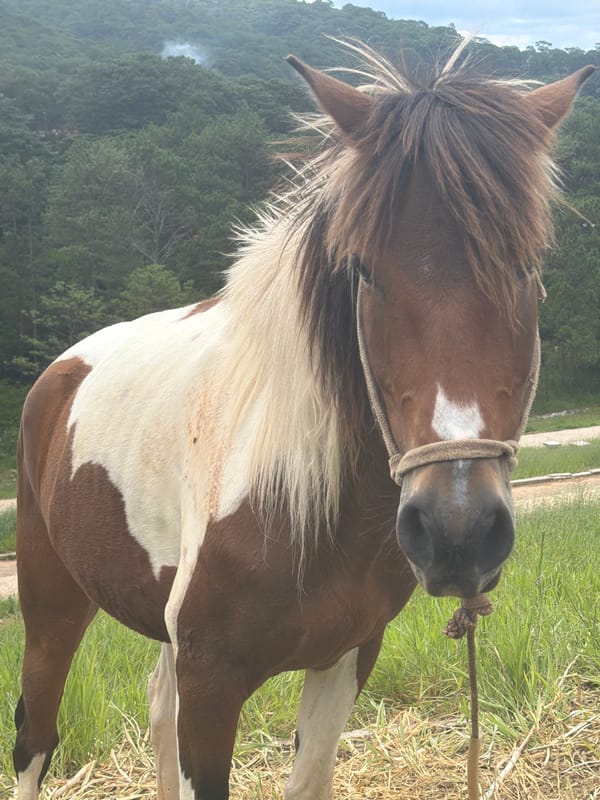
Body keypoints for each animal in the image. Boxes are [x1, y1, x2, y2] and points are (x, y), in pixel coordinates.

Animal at [13, 41, 594, 799]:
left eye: (525, 267)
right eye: (365, 272)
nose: (457, 529)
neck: (299, 504)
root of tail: (60, 372)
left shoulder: (345, 656)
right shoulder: (211, 682)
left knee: (156, 705)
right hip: (50, 601)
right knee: (35, 736)